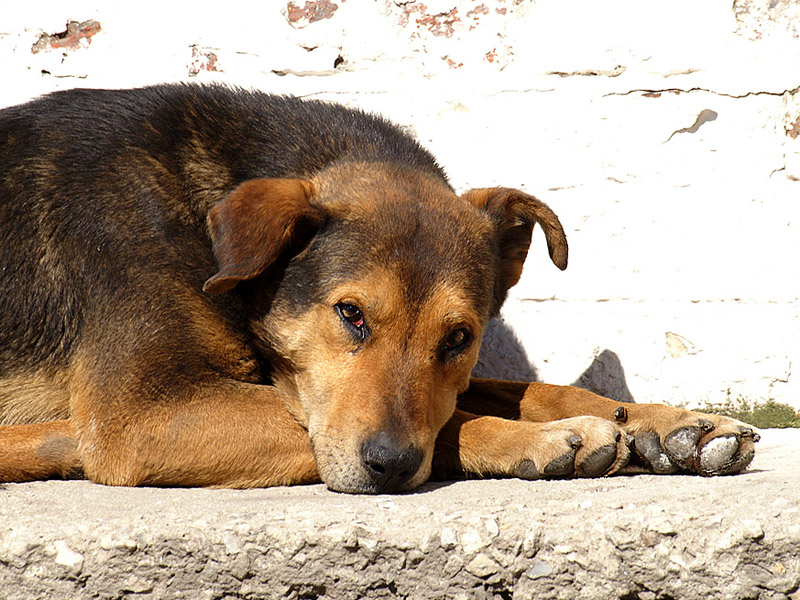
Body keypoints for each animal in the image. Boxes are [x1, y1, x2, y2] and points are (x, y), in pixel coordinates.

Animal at [0, 85, 760, 496]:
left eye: (459, 338)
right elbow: (453, 420)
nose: (390, 466)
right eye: (350, 314)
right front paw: (545, 439)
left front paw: (669, 424)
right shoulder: (141, 415)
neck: (211, 234)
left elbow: (526, 389)